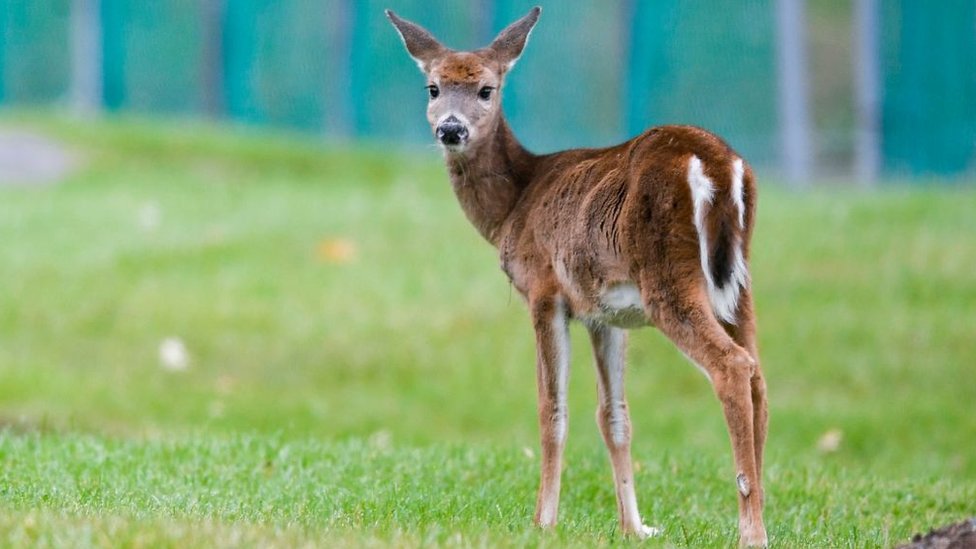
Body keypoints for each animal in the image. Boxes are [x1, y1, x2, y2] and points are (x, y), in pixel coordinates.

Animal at [388, 6, 772, 544]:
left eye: (487, 89)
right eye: (433, 87)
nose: (450, 129)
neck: (515, 205)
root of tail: (719, 166)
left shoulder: (545, 289)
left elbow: (552, 410)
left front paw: (542, 521)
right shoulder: (603, 312)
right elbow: (614, 415)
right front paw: (635, 526)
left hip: (668, 277)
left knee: (733, 367)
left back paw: (751, 532)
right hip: (738, 284)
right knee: (759, 375)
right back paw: (762, 516)